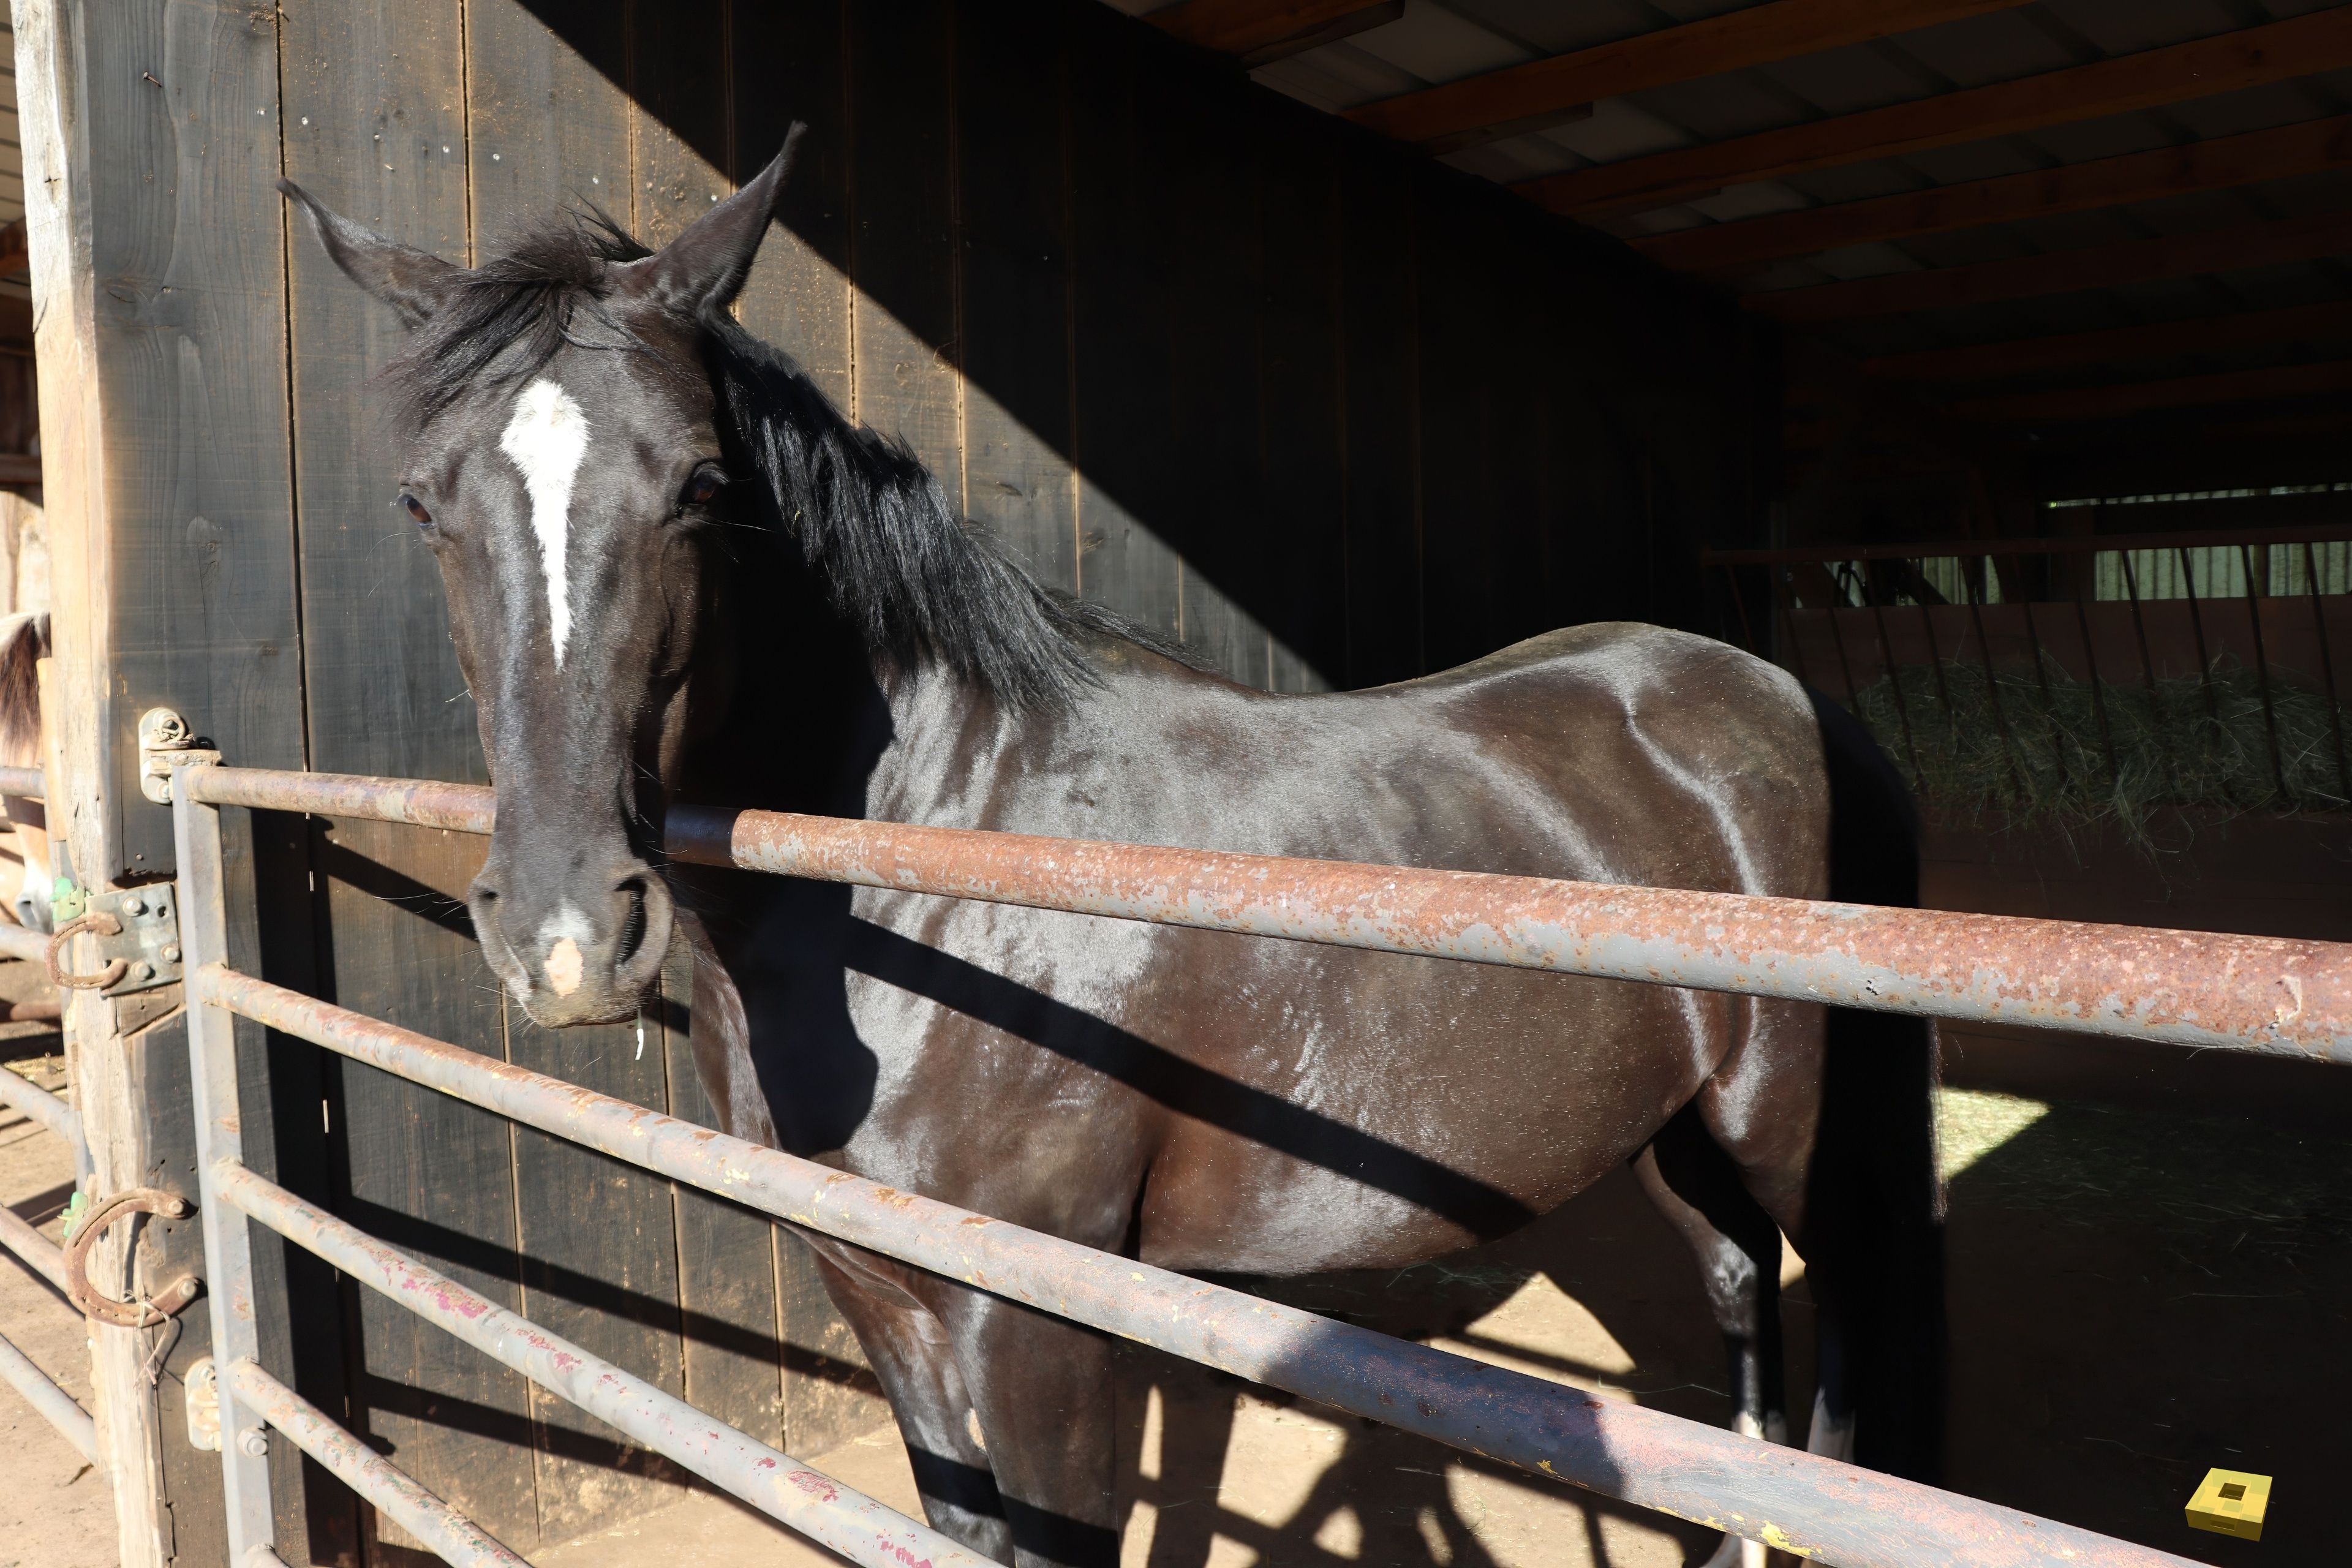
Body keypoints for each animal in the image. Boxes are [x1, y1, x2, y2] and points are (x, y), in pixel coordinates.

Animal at [280, 136, 1943, 1568]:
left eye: (698, 486)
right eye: (423, 501)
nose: (567, 930)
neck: (936, 866)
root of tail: (1777, 693)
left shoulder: (1043, 1326)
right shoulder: (881, 1292)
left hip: (1800, 1127)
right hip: (1678, 1126)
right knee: (1740, 1293)